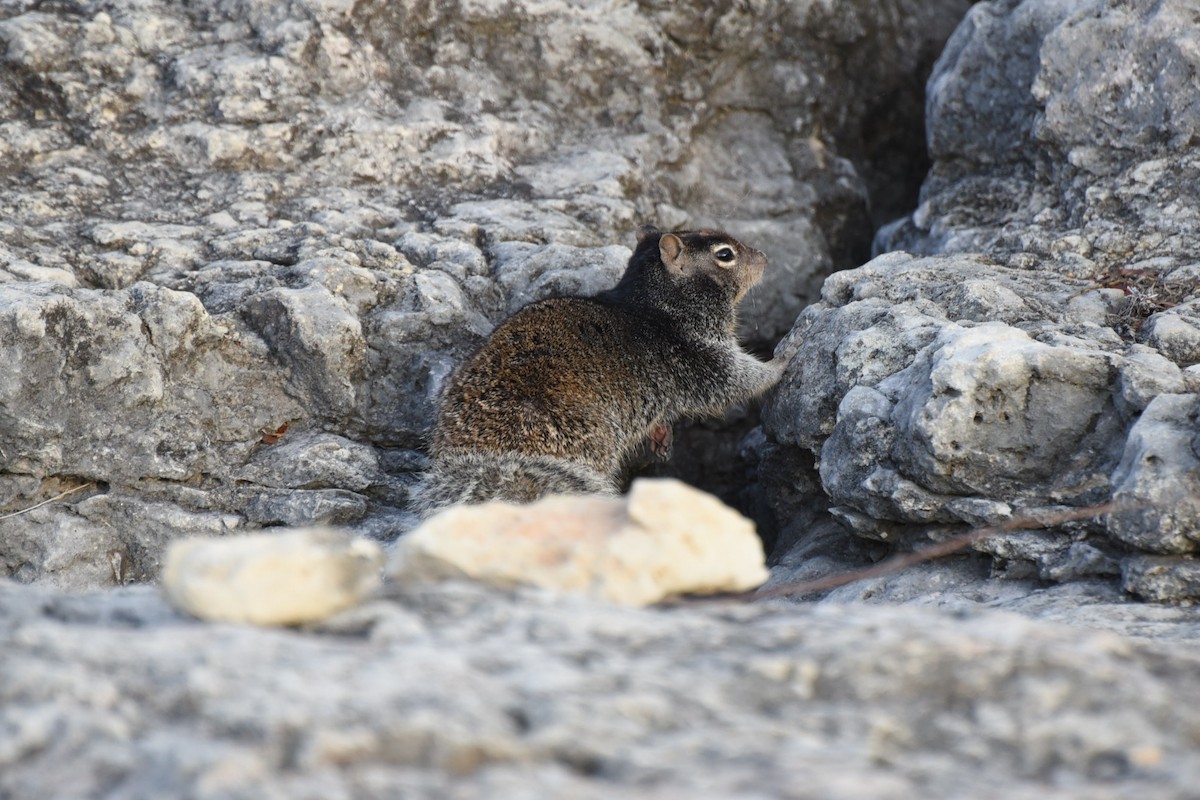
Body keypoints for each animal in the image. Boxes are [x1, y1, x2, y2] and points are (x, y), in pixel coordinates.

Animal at [411, 224, 786, 517]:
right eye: (725, 254)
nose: (764, 257)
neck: (651, 304)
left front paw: (661, 434)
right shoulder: (698, 355)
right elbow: (736, 380)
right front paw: (782, 360)